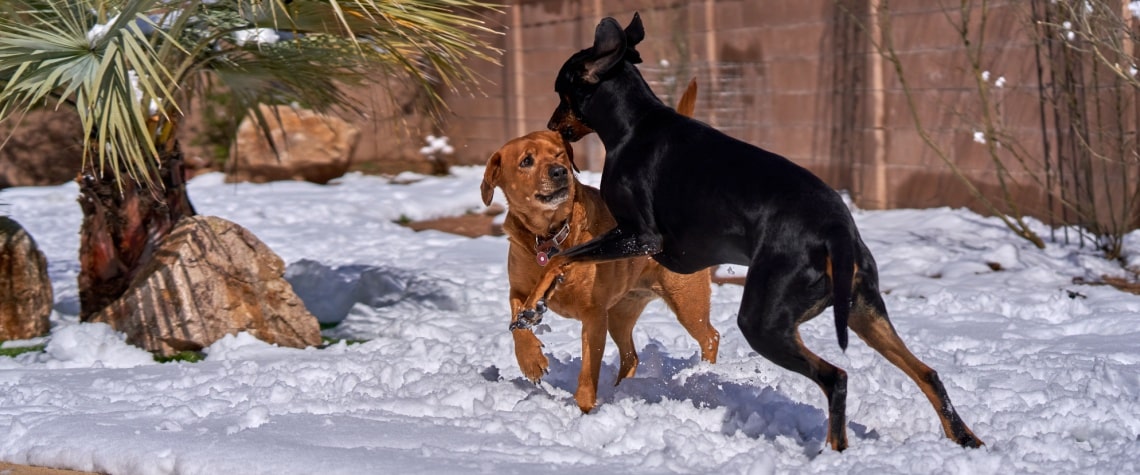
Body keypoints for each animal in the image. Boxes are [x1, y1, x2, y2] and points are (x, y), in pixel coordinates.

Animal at [478, 81, 711, 410]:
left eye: (560, 155)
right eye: (526, 161)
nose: (559, 171)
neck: (550, 236)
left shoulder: (594, 315)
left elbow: (589, 371)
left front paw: (585, 409)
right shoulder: (520, 289)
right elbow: (516, 320)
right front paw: (531, 359)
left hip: (687, 300)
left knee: (710, 337)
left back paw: (707, 372)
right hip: (621, 313)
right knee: (631, 357)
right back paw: (622, 389)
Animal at [522, 12, 984, 448]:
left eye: (561, 91)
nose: (551, 124)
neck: (632, 126)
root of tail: (838, 229)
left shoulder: (639, 236)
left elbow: (561, 257)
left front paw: (531, 308)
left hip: (764, 321)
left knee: (836, 378)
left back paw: (834, 450)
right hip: (863, 311)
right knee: (927, 373)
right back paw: (966, 439)